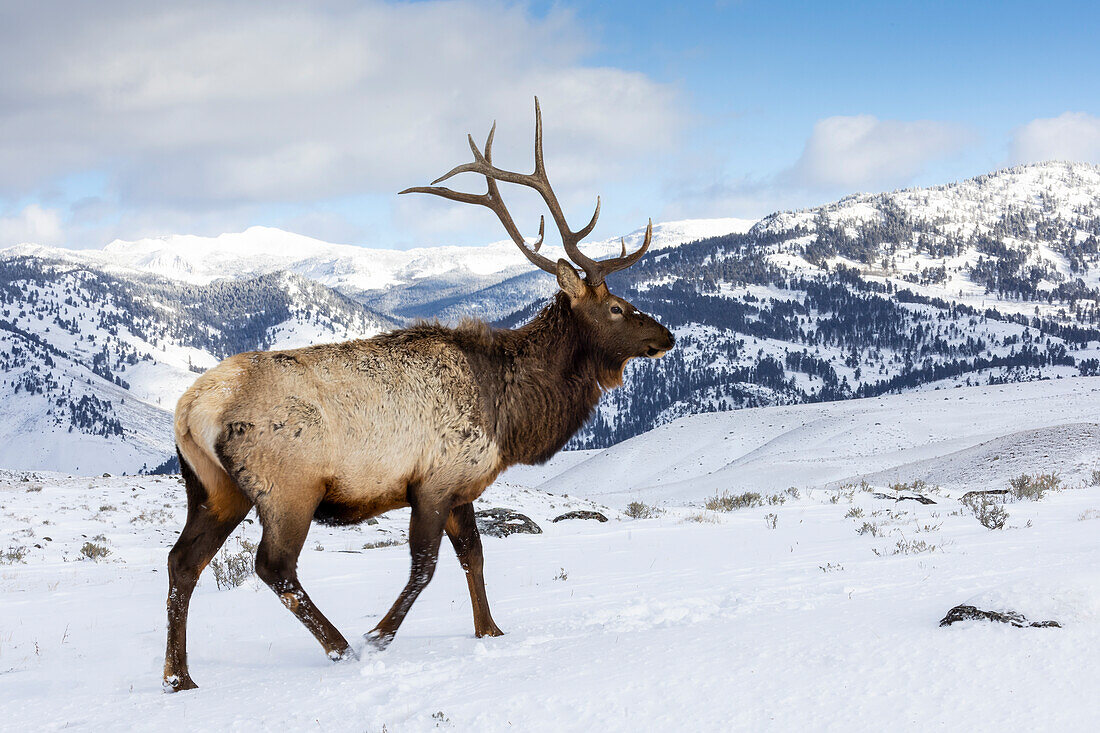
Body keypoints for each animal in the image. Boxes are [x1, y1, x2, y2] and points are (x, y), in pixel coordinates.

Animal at [161, 98, 673, 691]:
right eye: (616, 307)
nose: (667, 336)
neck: (510, 413)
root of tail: (192, 408)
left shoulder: (463, 485)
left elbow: (474, 555)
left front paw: (490, 630)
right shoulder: (432, 480)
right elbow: (425, 567)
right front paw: (379, 636)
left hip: (213, 487)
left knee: (182, 561)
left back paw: (178, 676)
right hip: (287, 486)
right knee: (273, 566)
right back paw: (341, 647)